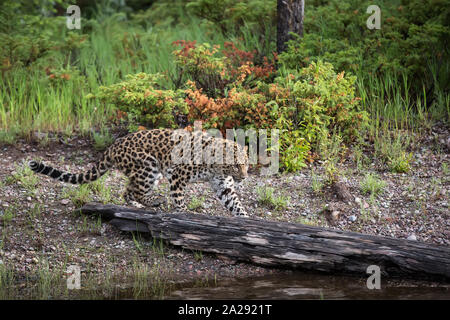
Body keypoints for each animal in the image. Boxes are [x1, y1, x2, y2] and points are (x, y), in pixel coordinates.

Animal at [28, 129, 250, 216]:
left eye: (246, 164)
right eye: (236, 165)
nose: (245, 176)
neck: (217, 168)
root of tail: (113, 145)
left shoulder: (224, 187)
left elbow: (236, 205)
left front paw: (247, 221)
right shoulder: (177, 176)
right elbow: (179, 199)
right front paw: (184, 214)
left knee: (128, 191)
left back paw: (137, 205)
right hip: (148, 166)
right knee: (136, 190)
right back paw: (154, 201)